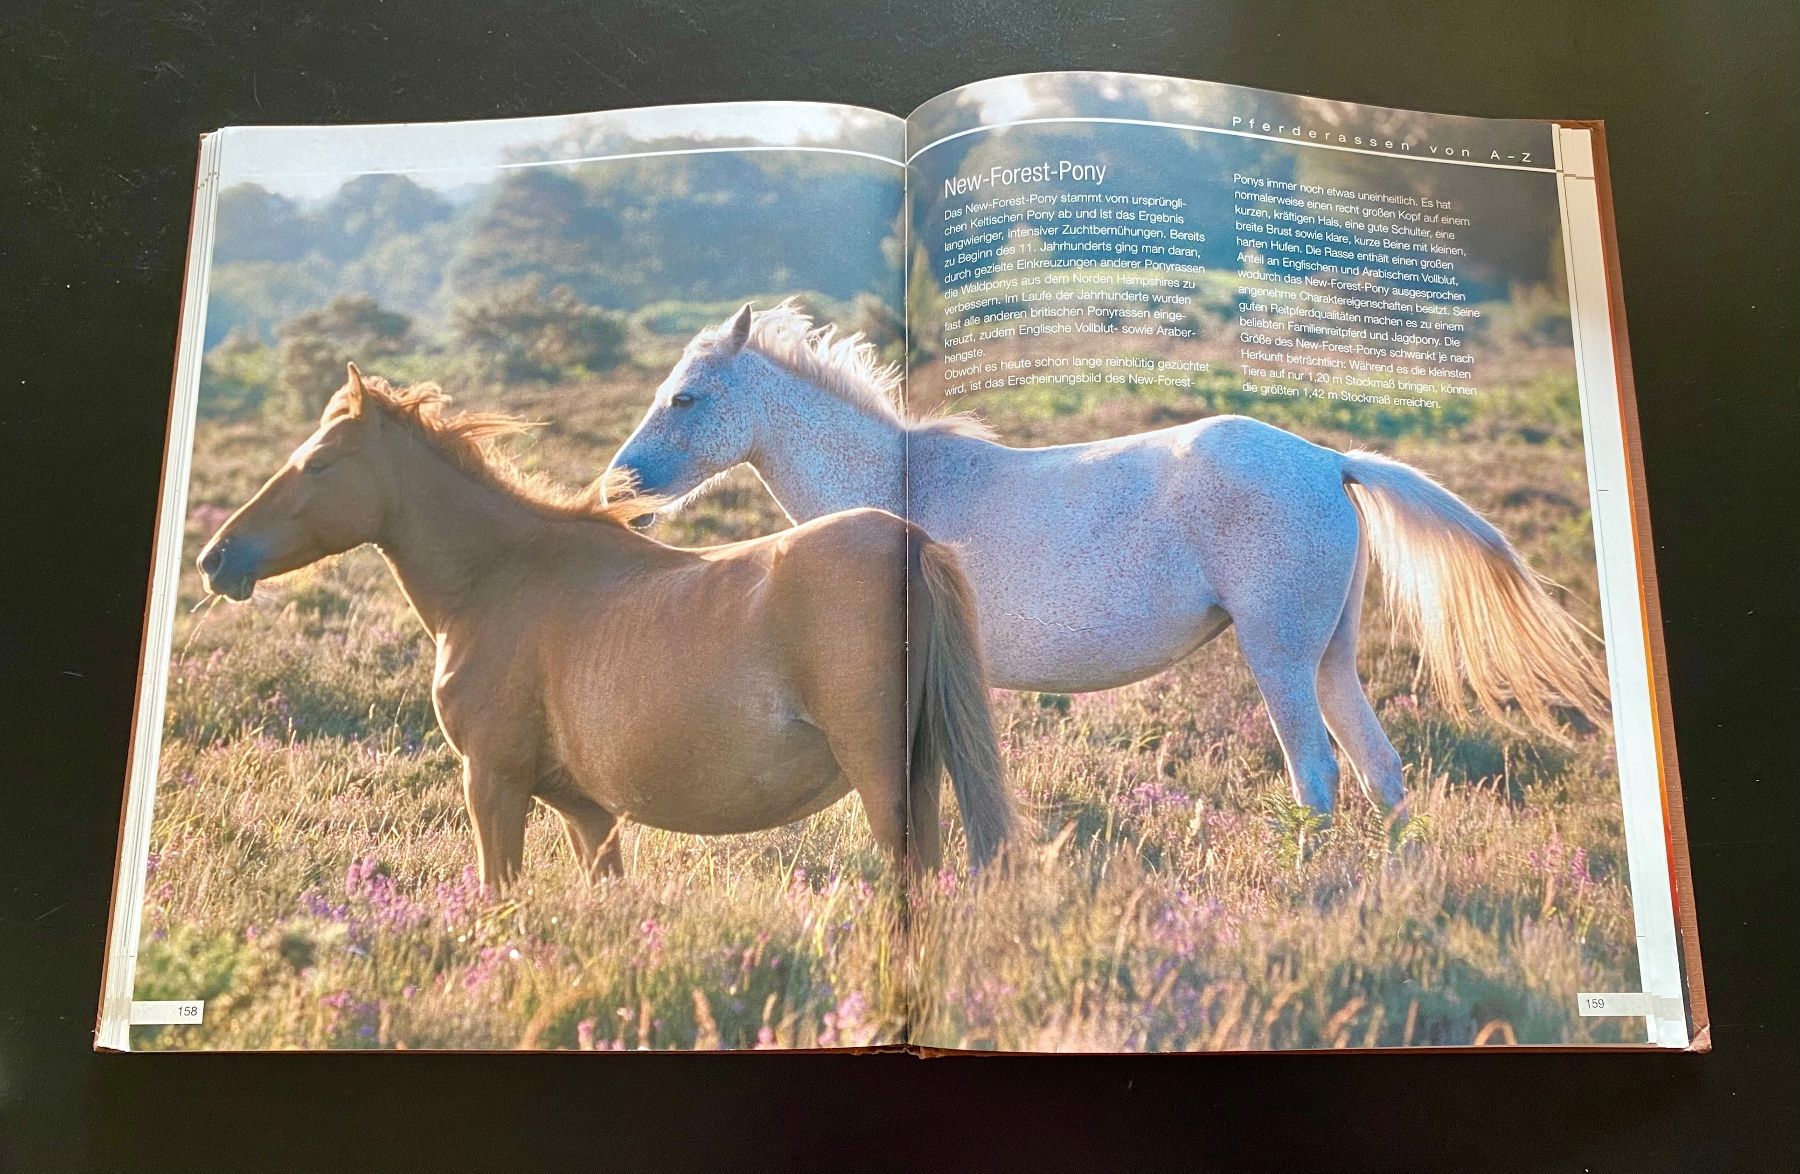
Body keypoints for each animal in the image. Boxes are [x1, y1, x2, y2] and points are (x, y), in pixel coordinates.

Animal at [197, 364, 1012, 891]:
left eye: (319, 463)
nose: (216, 557)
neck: (502, 576)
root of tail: (910, 541)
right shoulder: (588, 814)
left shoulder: (493, 784)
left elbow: (499, 897)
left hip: (884, 782)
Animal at [604, 302, 1610, 818]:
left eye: (686, 397)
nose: (619, 489)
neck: (900, 490)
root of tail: (1328, 460)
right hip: (1331, 656)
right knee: (1380, 768)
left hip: (1278, 656)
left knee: (1317, 775)